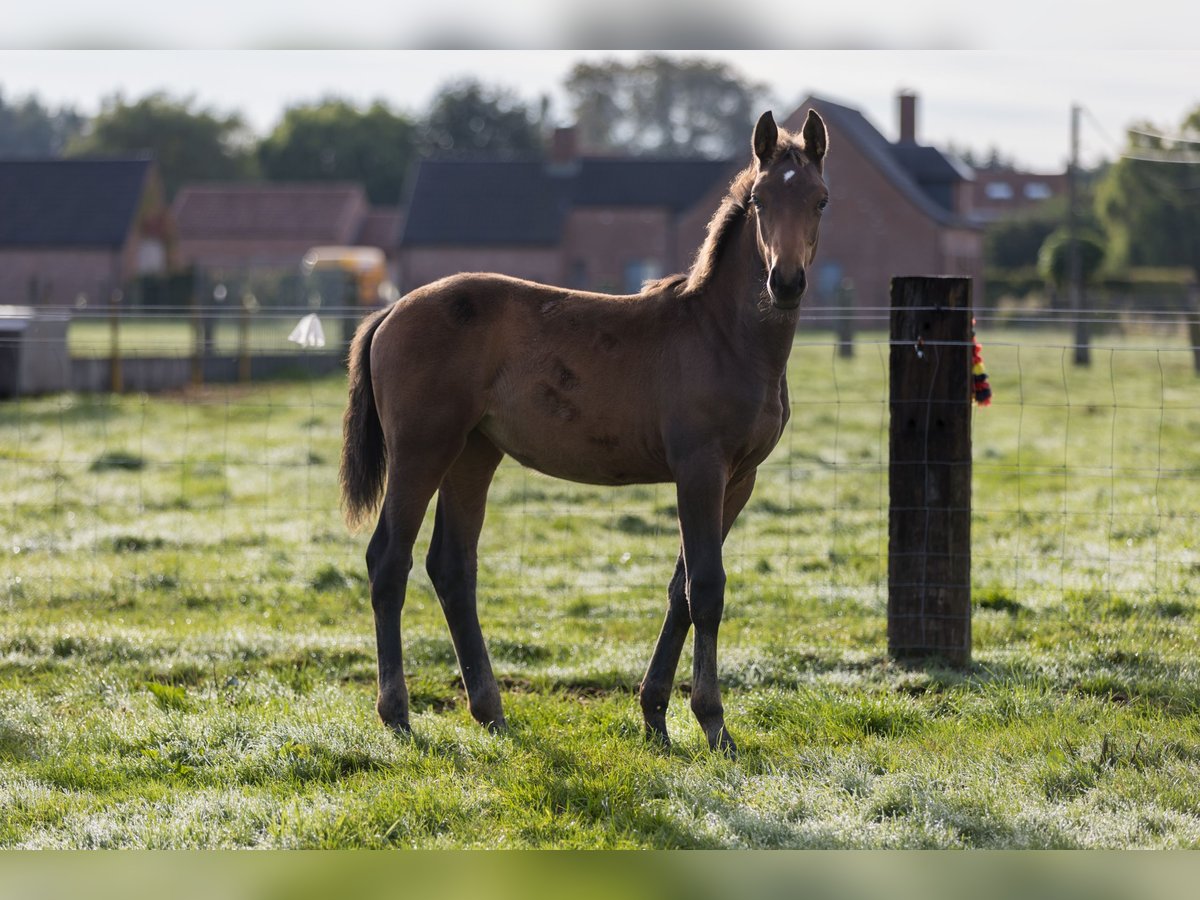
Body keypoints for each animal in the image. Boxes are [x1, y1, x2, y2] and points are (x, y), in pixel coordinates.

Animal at [338, 107, 825, 753]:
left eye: (820, 200)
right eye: (762, 200)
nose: (785, 282)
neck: (723, 336)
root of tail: (390, 310)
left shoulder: (738, 479)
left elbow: (681, 589)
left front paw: (655, 716)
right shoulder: (700, 469)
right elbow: (706, 588)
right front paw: (713, 721)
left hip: (474, 452)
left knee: (452, 566)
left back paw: (490, 712)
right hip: (423, 449)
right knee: (389, 560)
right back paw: (397, 713)